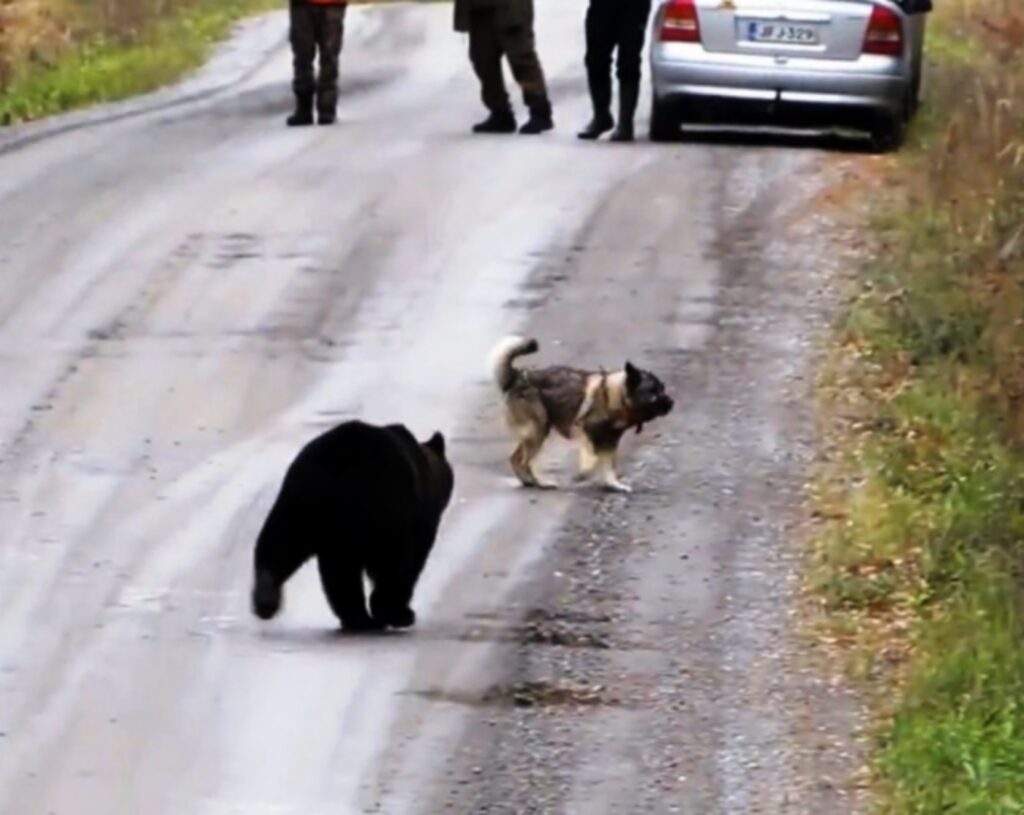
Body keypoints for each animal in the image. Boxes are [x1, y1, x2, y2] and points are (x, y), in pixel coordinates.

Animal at [249, 419, 454, 630]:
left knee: (283, 542)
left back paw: (266, 598)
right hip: (382, 506)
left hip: (300, 497)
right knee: (389, 560)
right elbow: (412, 560)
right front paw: (396, 611)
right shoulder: (419, 516)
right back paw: (391, 614)